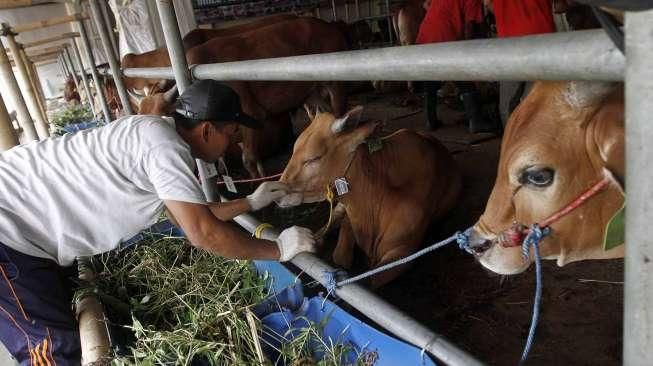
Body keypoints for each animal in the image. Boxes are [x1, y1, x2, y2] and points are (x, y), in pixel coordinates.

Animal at [278, 106, 458, 288]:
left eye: (314, 158)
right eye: (294, 150)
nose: (278, 192)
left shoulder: (404, 250)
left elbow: (369, 279)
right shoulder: (349, 217)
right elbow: (340, 257)